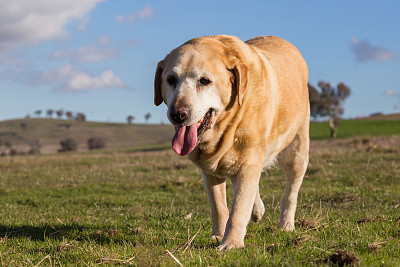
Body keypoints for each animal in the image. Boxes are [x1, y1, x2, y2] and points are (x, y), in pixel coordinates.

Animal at [153, 34, 310, 250]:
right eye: (170, 80)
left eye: (204, 81)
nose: (178, 114)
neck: (226, 126)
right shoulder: (210, 172)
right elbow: (219, 207)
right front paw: (218, 235)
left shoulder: (248, 163)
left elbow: (238, 208)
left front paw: (231, 243)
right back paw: (257, 211)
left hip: (297, 151)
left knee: (291, 192)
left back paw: (286, 225)